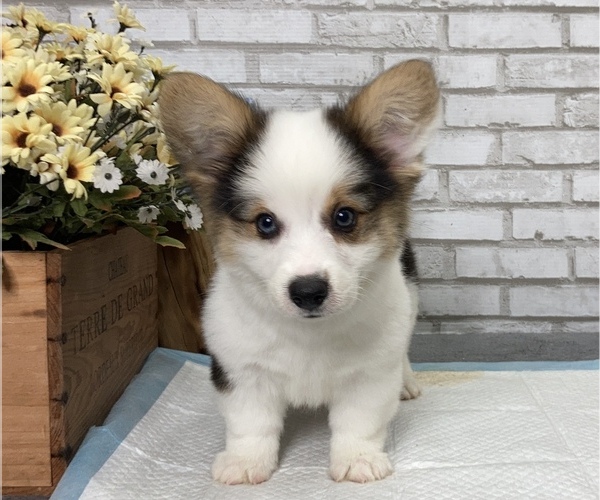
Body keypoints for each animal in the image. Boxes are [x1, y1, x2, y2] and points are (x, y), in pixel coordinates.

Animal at [159, 59, 440, 484]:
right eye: (265, 223)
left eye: (344, 217)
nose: (308, 291)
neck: (309, 335)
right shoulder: (241, 372)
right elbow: (250, 424)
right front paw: (245, 462)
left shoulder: (370, 377)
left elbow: (359, 422)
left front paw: (357, 459)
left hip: (410, 298)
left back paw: (406, 382)